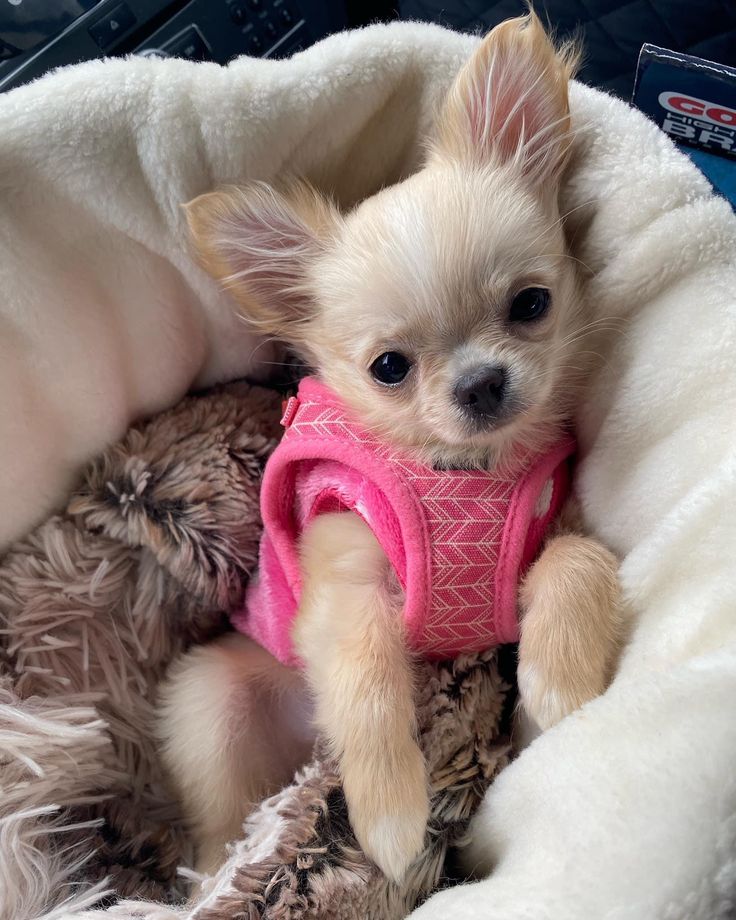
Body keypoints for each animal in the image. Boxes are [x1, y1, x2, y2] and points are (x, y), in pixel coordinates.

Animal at [158, 9, 624, 884]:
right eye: (389, 368)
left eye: (531, 304)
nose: (481, 384)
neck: (463, 475)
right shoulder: (346, 586)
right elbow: (370, 679)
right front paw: (392, 817)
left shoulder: (557, 524)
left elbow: (578, 561)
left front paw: (561, 684)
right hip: (214, 701)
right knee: (222, 826)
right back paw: (226, 868)